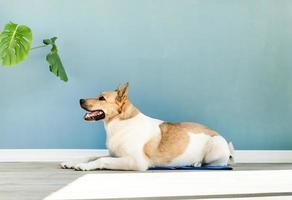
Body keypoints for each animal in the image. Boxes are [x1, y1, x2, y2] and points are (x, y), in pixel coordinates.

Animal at [61, 82, 233, 170]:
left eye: (101, 98)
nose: (80, 100)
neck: (120, 123)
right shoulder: (114, 155)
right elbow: (91, 155)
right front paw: (72, 162)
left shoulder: (136, 162)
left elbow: (102, 160)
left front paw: (85, 166)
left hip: (214, 151)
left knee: (218, 164)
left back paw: (196, 163)